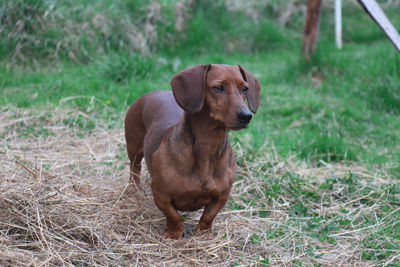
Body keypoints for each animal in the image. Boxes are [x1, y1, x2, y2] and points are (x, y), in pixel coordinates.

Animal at [126, 65, 260, 241]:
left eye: (244, 88)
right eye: (219, 87)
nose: (246, 116)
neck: (207, 147)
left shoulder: (222, 195)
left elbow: (208, 216)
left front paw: (203, 234)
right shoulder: (160, 193)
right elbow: (173, 215)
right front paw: (173, 234)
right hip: (133, 148)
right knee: (134, 168)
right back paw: (133, 190)